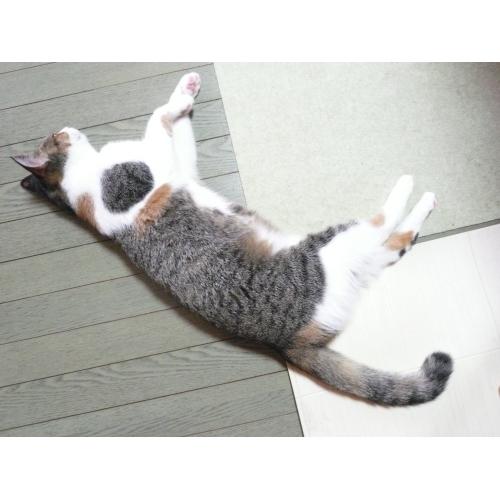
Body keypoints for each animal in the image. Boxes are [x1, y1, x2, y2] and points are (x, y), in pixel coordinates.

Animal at [13, 71, 453, 406]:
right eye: (55, 134)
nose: (67, 127)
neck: (83, 181)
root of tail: (287, 342)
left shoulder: (183, 167)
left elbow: (178, 132)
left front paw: (189, 89)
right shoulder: (149, 167)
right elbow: (158, 116)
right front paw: (183, 94)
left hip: (362, 259)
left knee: (397, 243)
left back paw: (426, 200)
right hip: (332, 247)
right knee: (381, 222)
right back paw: (409, 185)